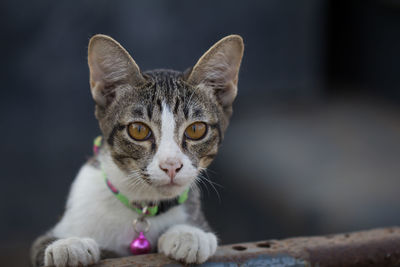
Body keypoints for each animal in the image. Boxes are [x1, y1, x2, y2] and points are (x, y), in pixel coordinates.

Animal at [30, 34, 244, 266]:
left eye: (196, 129)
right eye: (138, 130)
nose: (171, 165)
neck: (142, 205)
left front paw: (189, 235)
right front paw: (69, 245)